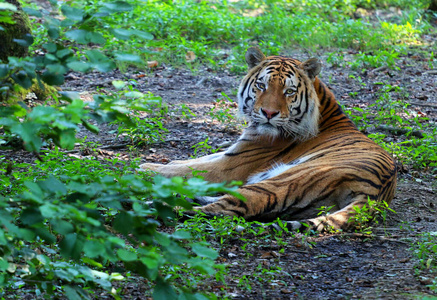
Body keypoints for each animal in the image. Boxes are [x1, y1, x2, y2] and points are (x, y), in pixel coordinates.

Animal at [139, 47, 396, 231]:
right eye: (261, 85)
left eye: (289, 91)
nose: (269, 114)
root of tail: (378, 194)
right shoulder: (231, 153)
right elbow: (190, 162)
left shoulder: (231, 165)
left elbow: (185, 169)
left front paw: (143, 167)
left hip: (281, 181)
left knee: (225, 209)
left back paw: (150, 206)